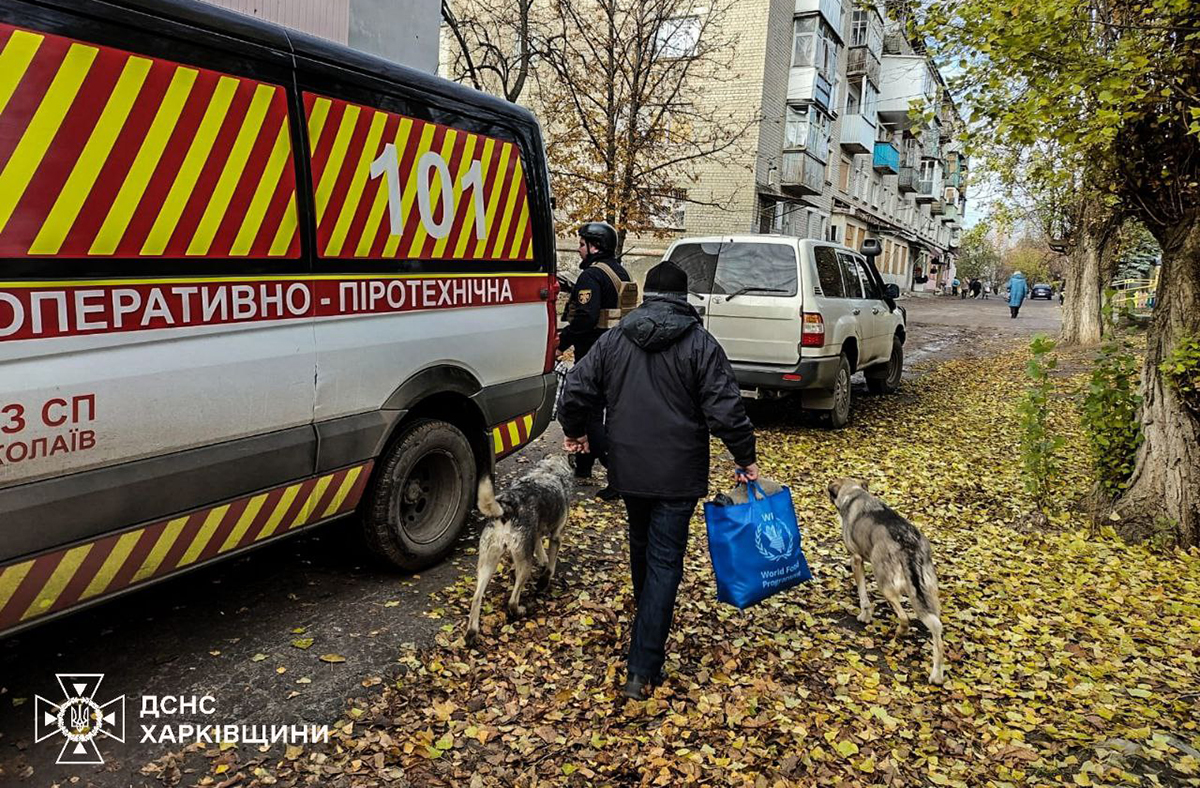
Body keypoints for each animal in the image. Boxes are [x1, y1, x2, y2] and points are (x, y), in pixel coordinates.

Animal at [463, 455, 571, 647]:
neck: (549, 470)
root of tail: (507, 507)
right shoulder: (556, 537)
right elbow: (550, 566)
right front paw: (544, 581)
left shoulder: (536, 535)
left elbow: (540, 550)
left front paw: (542, 562)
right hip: (525, 565)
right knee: (512, 601)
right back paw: (520, 610)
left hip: (487, 563)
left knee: (476, 598)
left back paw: (472, 633)